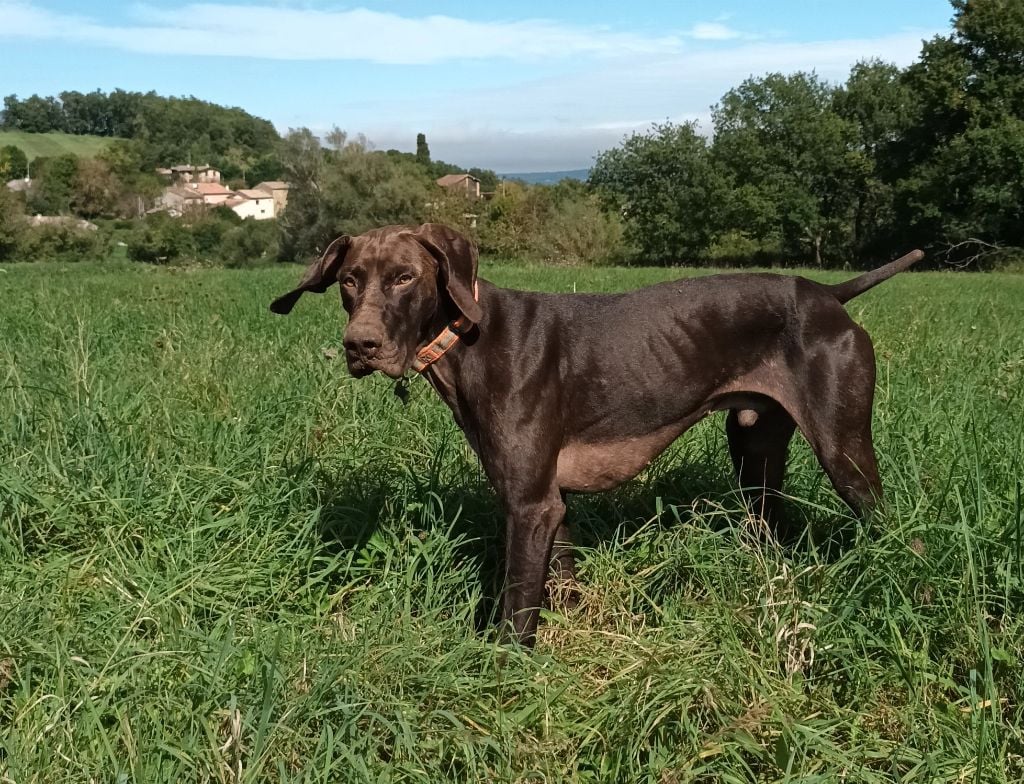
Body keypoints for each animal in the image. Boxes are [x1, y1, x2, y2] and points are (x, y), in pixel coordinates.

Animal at [270, 224, 921, 646]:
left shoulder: (530, 506)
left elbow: (515, 613)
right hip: (754, 453)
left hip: (844, 452)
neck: (469, 338)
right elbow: (560, 583)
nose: (361, 345)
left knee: (893, 526)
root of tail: (827, 295)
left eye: (404, 278)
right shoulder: (550, 504)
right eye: (349, 281)